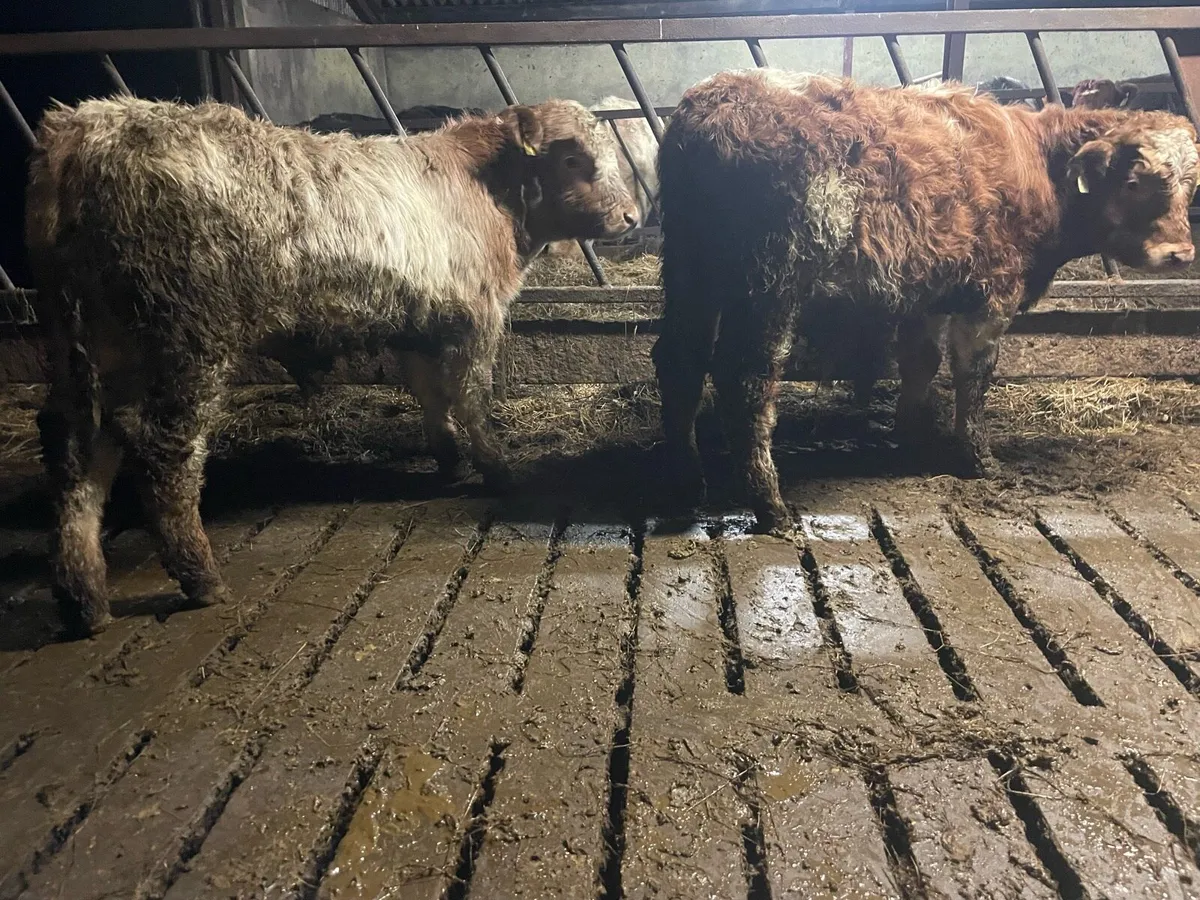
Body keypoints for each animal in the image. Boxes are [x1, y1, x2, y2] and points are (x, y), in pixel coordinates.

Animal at [27, 95, 637, 636]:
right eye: (573, 159)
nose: (632, 215)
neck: (485, 188)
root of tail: (86, 129)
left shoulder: (423, 323)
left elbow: (431, 396)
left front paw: (447, 460)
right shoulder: (475, 318)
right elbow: (472, 400)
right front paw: (497, 468)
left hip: (92, 350)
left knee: (77, 448)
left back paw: (84, 598)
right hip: (185, 343)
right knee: (162, 452)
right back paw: (200, 578)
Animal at [653, 69, 1198, 532]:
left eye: (1190, 188)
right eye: (1133, 182)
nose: (1180, 253)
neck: (1037, 165)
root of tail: (714, 103)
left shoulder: (930, 291)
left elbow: (921, 362)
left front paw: (910, 437)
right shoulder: (992, 293)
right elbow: (974, 375)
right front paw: (976, 458)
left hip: (690, 273)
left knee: (679, 361)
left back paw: (686, 483)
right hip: (770, 281)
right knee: (746, 379)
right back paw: (770, 505)